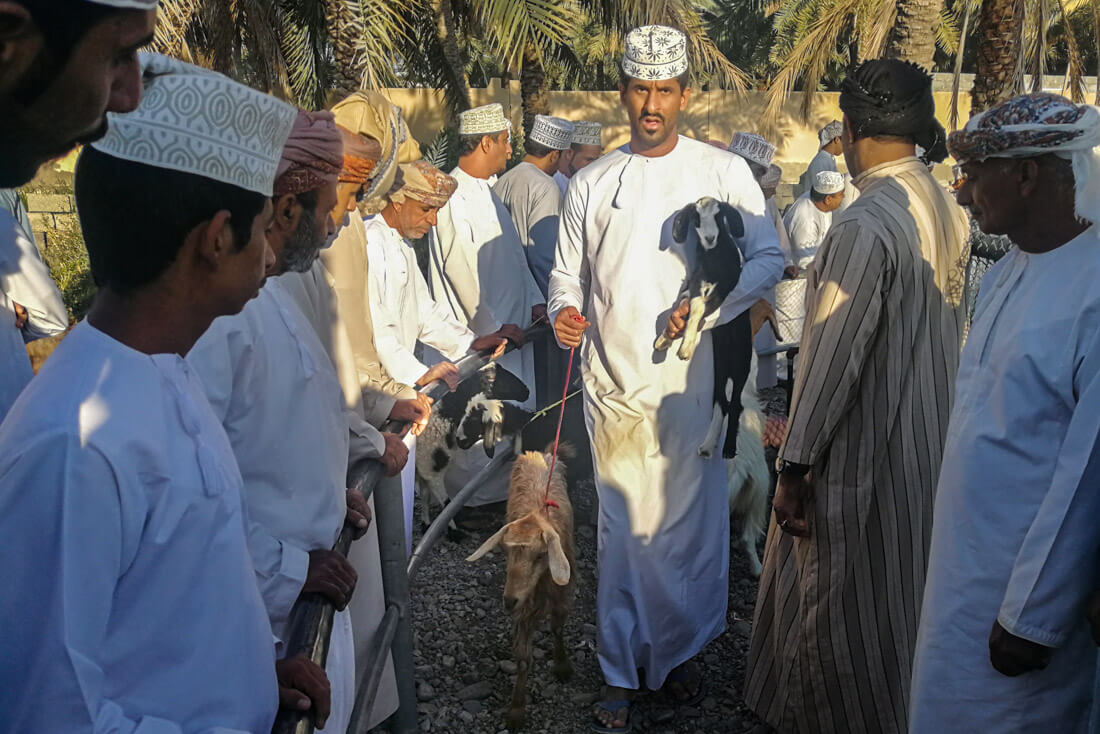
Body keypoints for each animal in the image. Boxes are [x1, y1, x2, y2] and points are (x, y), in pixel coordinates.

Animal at [413, 360, 530, 521]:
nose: (527, 391)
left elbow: (425, 495)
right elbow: (445, 504)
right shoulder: (431, 467)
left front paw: (426, 521)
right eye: (492, 381)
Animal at [464, 451, 576, 730]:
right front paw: (516, 711)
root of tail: (539, 453)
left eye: (540, 555)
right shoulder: (524, 610)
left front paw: (562, 665)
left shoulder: (562, 597)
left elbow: (558, 629)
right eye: (505, 550)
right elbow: (523, 659)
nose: (508, 601)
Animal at [651, 194, 756, 459]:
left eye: (720, 216)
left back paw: (728, 448)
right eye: (696, 218)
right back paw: (708, 445)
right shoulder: (694, 283)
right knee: (722, 402)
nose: (709, 239)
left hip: (741, 364)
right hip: (719, 368)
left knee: (736, 404)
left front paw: (685, 348)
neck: (713, 259)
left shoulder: (725, 288)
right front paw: (665, 337)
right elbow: (684, 302)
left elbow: (698, 307)